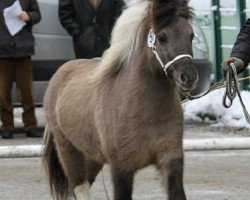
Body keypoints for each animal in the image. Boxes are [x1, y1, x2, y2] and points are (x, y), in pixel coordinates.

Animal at [44, 0, 198, 199]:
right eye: (162, 37)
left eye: (191, 35)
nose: (188, 77)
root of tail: (60, 73)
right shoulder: (121, 168)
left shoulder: (170, 159)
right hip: (68, 150)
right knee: (80, 187)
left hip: (92, 156)